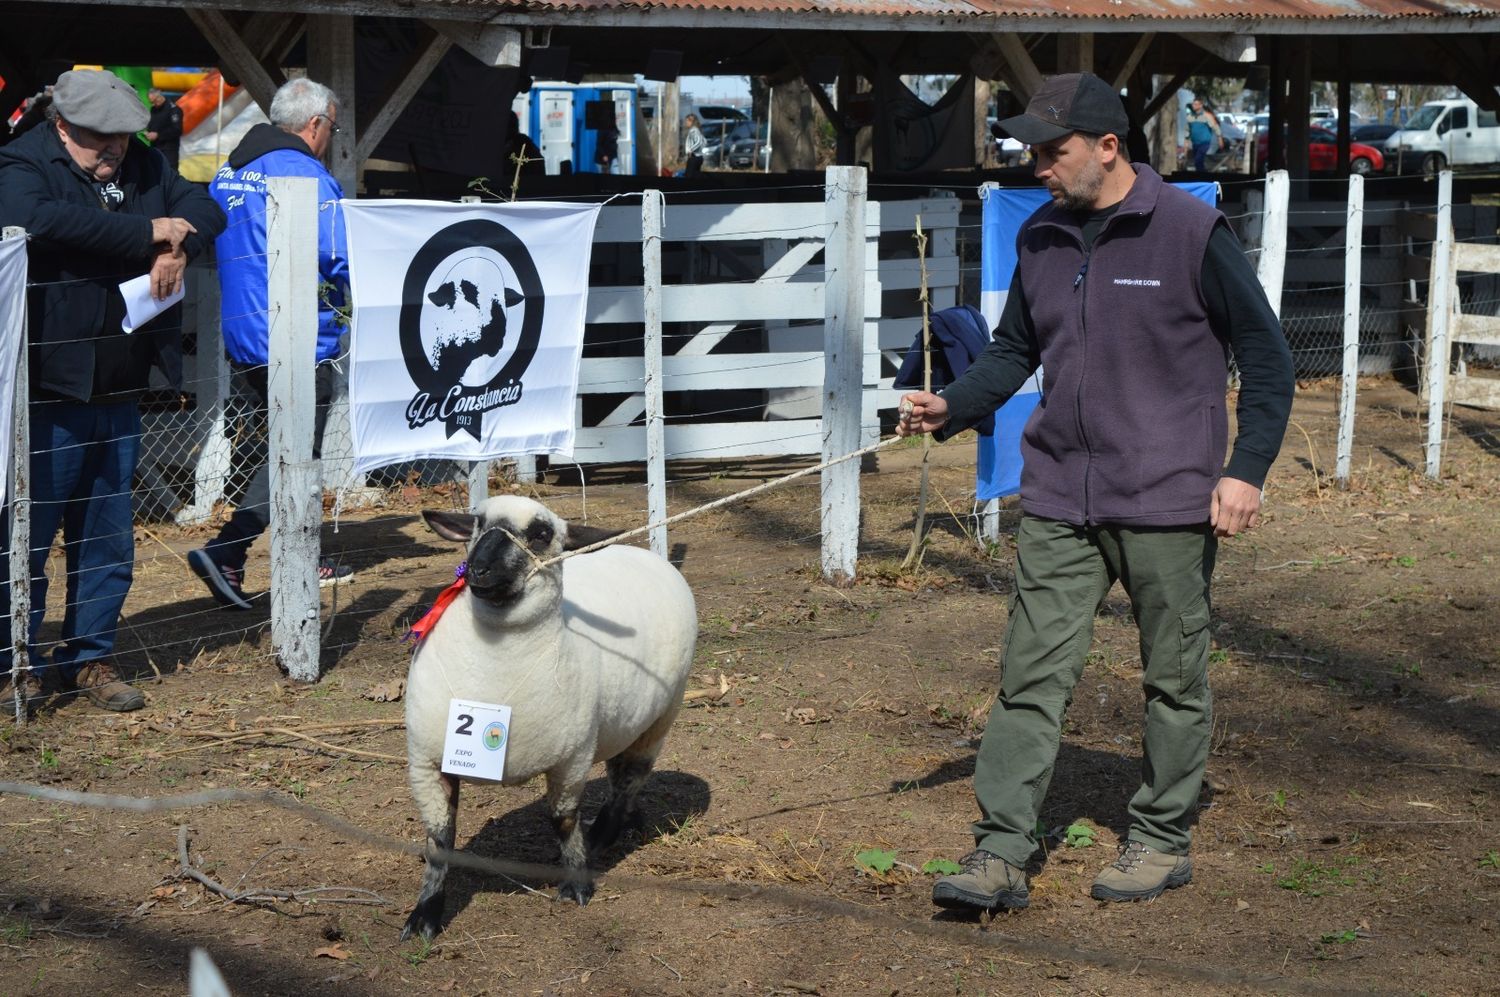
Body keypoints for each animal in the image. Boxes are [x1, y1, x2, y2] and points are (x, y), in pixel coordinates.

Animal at [402, 494, 699, 935]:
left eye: (541, 534)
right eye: (478, 524)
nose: (478, 569)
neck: (492, 662)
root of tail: (642, 552)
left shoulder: (571, 759)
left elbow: (563, 820)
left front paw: (576, 882)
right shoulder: (426, 762)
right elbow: (440, 839)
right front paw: (425, 913)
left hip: (661, 718)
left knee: (630, 778)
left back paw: (604, 834)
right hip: (623, 724)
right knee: (619, 773)